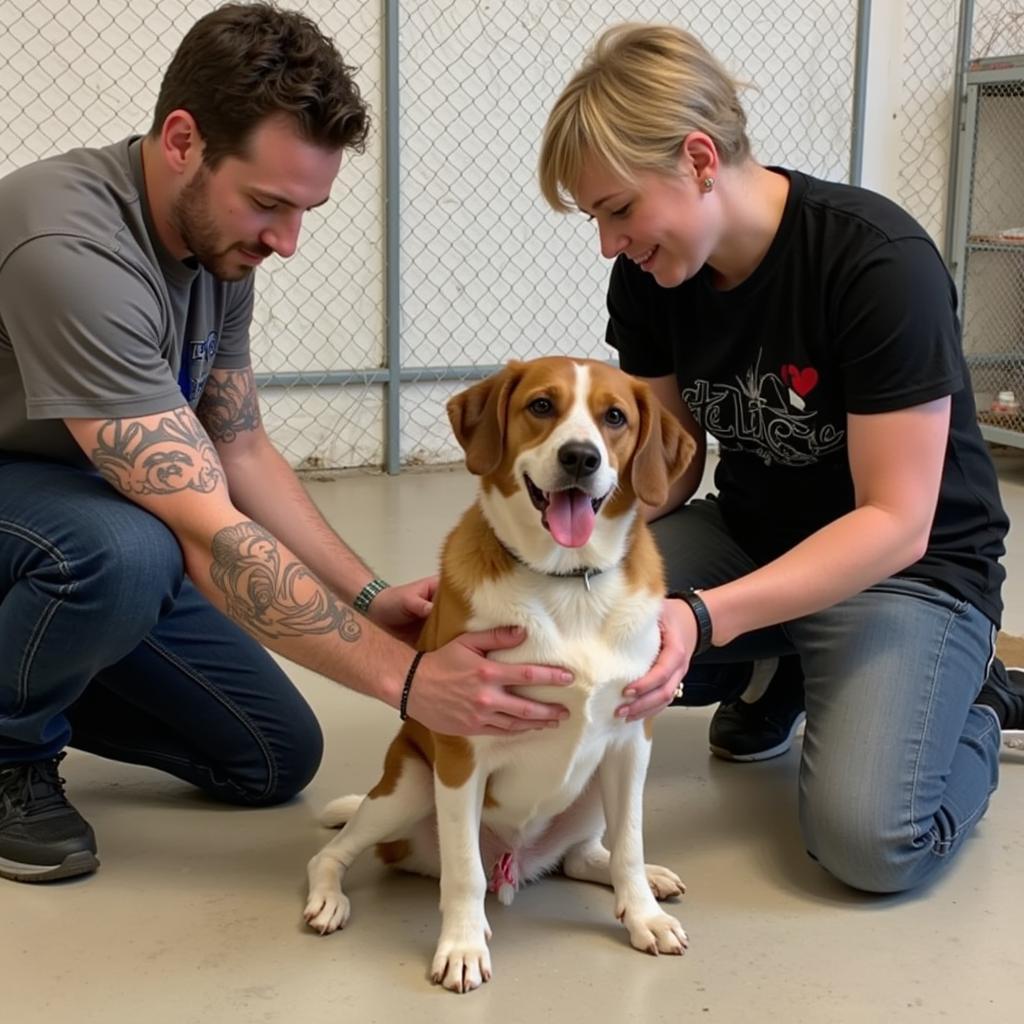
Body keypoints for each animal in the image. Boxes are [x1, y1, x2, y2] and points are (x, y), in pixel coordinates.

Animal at [303, 358, 696, 991]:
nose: (581, 458)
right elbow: (465, 872)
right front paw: (462, 947)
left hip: (595, 787)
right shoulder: (463, 751)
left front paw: (644, 916)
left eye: (615, 417)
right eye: (541, 406)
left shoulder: (631, 741)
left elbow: (630, 845)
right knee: (337, 854)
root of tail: (520, 860)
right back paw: (328, 898)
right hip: (410, 786)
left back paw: (639, 878)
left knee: (588, 853)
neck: (570, 582)